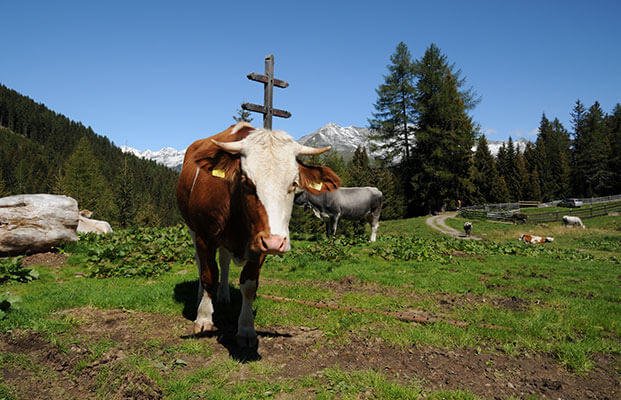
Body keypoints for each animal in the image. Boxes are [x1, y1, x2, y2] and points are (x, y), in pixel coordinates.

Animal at [174, 122, 340, 346]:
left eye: (294, 183)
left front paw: (246, 329)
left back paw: (224, 295)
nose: (276, 242)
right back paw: (202, 296)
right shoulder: (204, 235)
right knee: (202, 265)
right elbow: (208, 275)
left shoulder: (259, 243)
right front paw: (203, 318)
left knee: (224, 260)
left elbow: (249, 285)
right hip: (193, 229)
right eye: (246, 181)